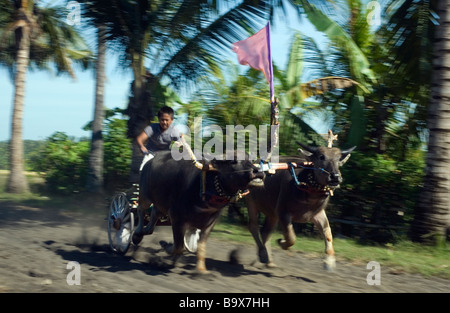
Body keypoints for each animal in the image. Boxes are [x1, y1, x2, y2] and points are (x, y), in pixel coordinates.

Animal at [132, 150, 264, 272]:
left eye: (250, 160)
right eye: (234, 160)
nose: (258, 172)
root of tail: (150, 161)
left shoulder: (210, 223)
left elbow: (200, 246)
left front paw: (201, 270)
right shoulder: (176, 217)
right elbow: (179, 246)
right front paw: (166, 246)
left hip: (160, 203)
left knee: (154, 215)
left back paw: (145, 232)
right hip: (145, 195)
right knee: (141, 210)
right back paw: (137, 235)